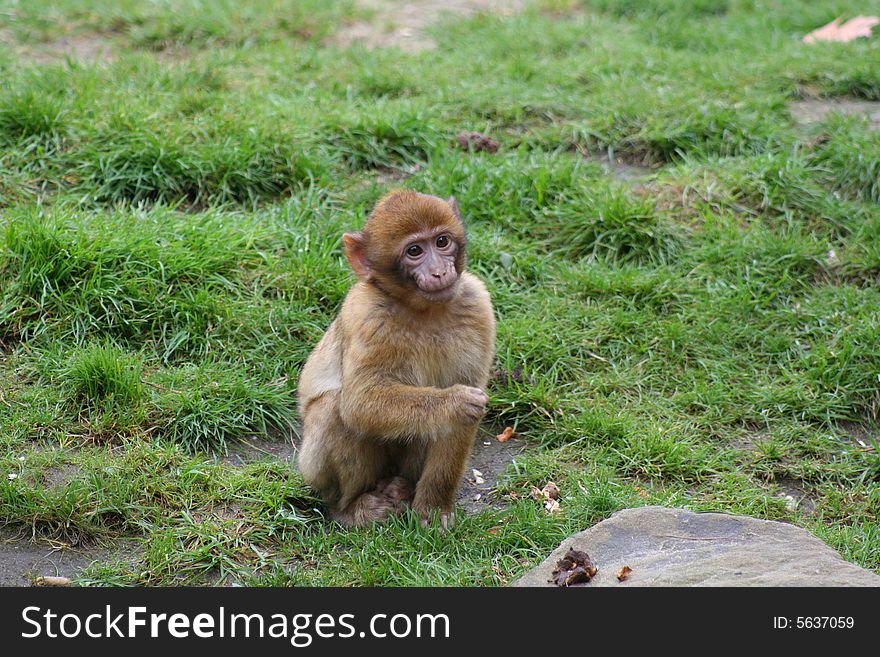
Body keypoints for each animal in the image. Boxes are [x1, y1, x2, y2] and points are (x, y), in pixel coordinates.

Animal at [298, 190, 496, 528]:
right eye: (414, 250)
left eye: (442, 242)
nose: (440, 272)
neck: (425, 311)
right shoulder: (366, 314)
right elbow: (359, 402)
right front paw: (456, 402)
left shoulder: (478, 305)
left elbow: (461, 418)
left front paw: (434, 506)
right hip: (311, 469)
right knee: (332, 410)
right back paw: (350, 507)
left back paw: (401, 487)